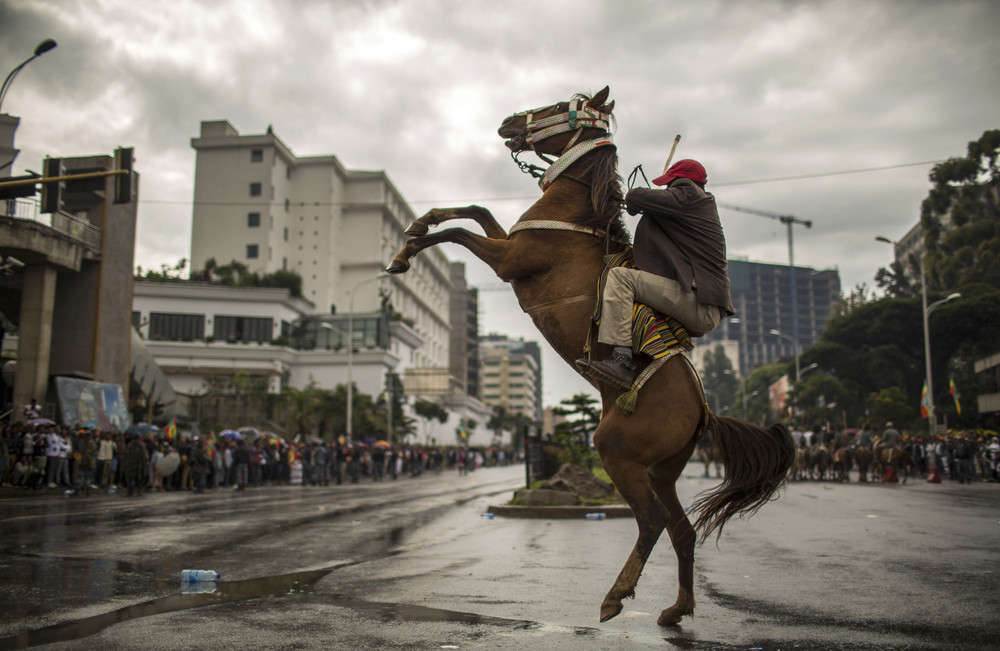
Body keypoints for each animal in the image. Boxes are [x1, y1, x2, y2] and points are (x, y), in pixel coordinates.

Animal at [386, 85, 792, 628]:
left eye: (562, 104)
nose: (509, 121)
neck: (575, 214)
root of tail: (704, 410)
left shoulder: (510, 260)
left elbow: (460, 233)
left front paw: (405, 251)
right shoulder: (508, 243)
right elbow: (473, 208)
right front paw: (416, 225)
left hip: (617, 453)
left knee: (652, 521)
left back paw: (615, 596)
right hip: (661, 469)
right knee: (681, 530)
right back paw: (676, 608)